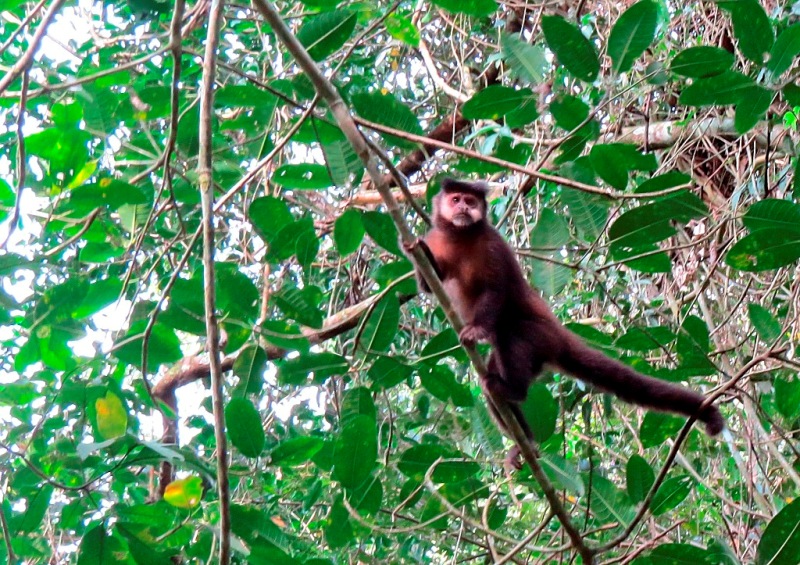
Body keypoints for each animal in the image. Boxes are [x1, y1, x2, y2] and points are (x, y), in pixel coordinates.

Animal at [404, 178, 724, 468]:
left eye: (470, 202)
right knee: (491, 383)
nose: (464, 208)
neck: (461, 236)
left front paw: (477, 329)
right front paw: (415, 250)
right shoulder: (438, 237)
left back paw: (513, 391)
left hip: (540, 336)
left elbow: (497, 290)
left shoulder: (492, 243)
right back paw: (525, 438)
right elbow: (430, 284)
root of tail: (559, 335)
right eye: (456, 199)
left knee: (513, 333)